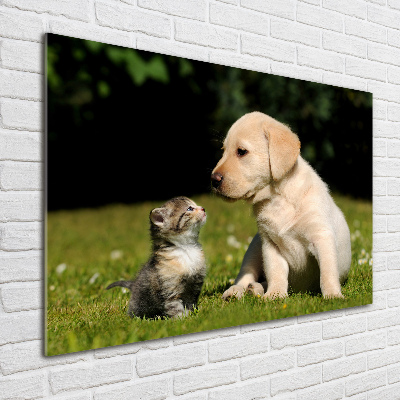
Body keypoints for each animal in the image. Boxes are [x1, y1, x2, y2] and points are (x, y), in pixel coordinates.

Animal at [211, 111, 352, 298]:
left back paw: (255, 289)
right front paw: (275, 295)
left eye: (241, 152)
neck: (277, 198)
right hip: (254, 248)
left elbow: (327, 271)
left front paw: (333, 295)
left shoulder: (321, 236)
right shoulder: (270, 244)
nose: (213, 180)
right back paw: (237, 291)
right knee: (245, 275)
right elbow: (276, 272)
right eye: (223, 151)